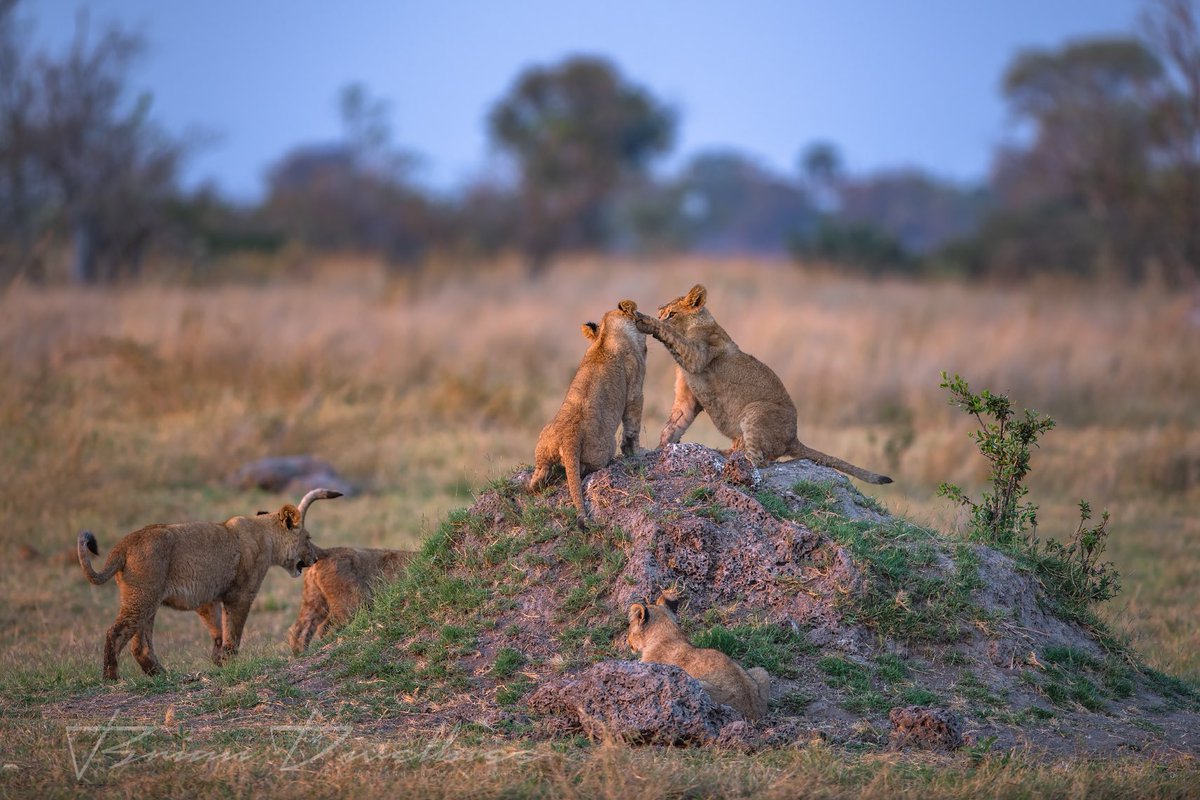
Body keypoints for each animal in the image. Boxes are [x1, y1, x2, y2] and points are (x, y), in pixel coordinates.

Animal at [77, 488, 341, 680]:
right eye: (308, 538)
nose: (314, 558)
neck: (266, 534)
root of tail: (126, 543)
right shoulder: (241, 594)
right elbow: (233, 630)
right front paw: (230, 662)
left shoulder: (207, 598)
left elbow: (217, 631)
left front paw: (218, 660)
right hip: (143, 597)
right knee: (115, 633)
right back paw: (111, 678)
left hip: (147, 601)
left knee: (140, 645)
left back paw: (162, 675)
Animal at [529, 299, 647, 517]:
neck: (606, 335)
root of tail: (569, 437)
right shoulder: (635, 389)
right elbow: (632, 426)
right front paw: (637, 452)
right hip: (605, 449)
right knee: (584, 469)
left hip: (543, 445)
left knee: (538, 476)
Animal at [626, 589, 770, 721]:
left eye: (629, 628)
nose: (627, 641)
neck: (669, 634)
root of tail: (754, 714)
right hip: (760, 671)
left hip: (697, 685)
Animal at [634, 284, 892, 483]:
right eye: (663, 312)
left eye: (671, 314)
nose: (659, 316)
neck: (701, 322)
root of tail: (793, 438)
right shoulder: (688, 393)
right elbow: (674, 424)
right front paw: (659, 450)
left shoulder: (697, 355)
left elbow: (672, 335)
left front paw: (644, 321)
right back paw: (722, 452)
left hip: (755, 411)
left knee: (759, 461)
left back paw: (732, 462)